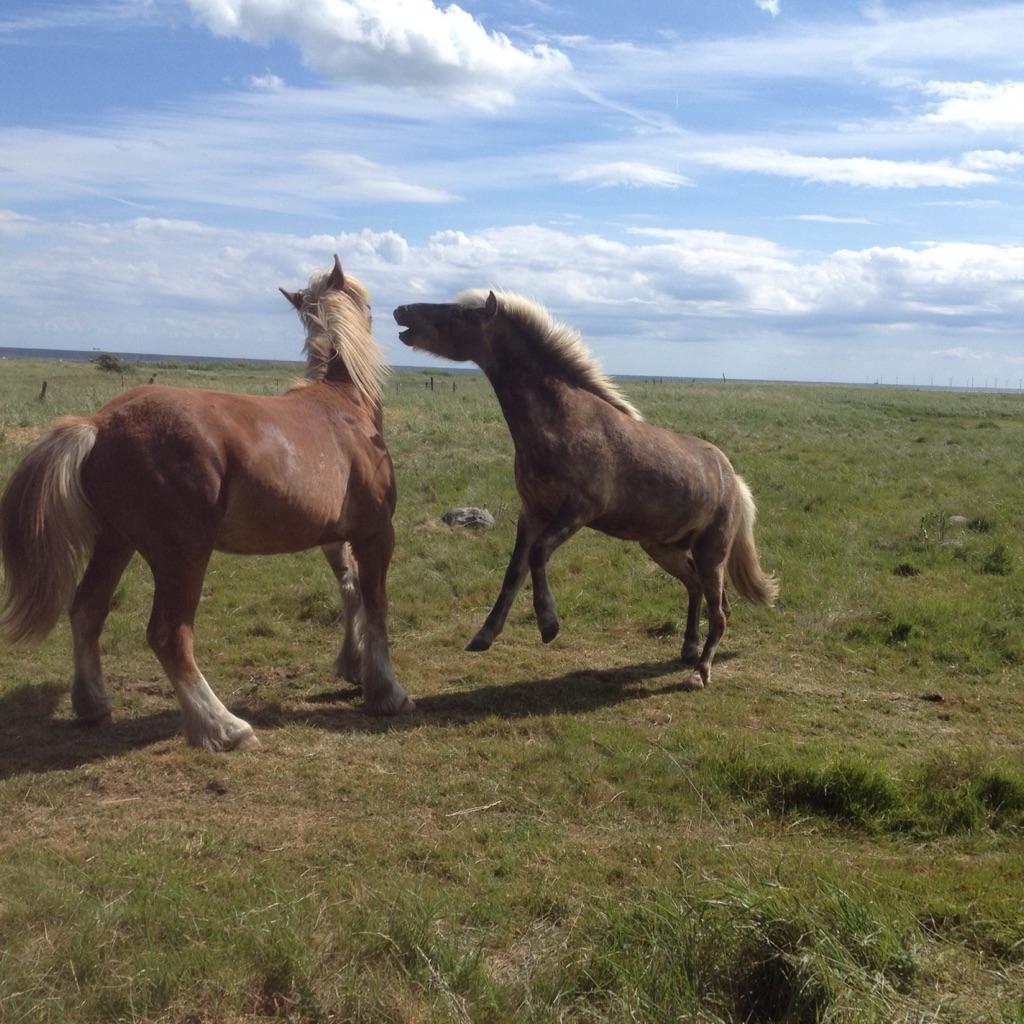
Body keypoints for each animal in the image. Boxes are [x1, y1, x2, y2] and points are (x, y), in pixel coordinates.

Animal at [4, 256, 411, 753]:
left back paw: (93, 704)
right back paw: (223, 727)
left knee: (87, 611)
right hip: (182, 556)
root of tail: (99, 423)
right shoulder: (376, 532)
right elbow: (376, 605)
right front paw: (386, 691)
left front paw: (353, 667)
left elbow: (351, 591)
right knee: (169, 635)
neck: (342, 403)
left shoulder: (334, 538)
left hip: (115, 542)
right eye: (370, 306)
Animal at [393, 288, 774, 688]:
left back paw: (699, 672)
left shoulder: (577, 511)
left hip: (711, 552)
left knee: (720, 611)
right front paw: (484, 635)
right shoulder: (532, 513)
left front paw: (548, 625)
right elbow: (514, 571)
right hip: (663, 548)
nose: (401, 310)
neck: (562, 419)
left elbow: (538, 555)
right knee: (697, 588)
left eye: (462, 314)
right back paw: (688, 650)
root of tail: (733, 479)